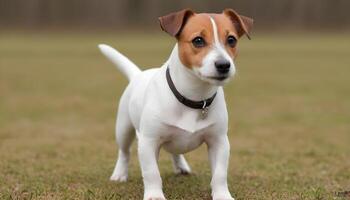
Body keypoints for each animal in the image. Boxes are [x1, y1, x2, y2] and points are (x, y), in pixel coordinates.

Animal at [98, 8, 252, 200]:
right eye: (198, 40)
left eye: (231, 40)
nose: (223, 65)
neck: (194, 97)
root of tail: (138, 74)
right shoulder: (148, 142)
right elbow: (151, 173)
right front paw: (154, 195)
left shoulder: (219, 141)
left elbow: (220, 174)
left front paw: (222, 195)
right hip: (124, 128)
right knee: (124, 152)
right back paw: (119, 174)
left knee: (175, 151)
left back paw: (181, 166)